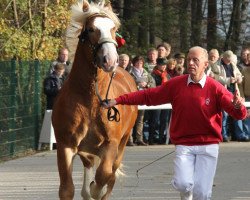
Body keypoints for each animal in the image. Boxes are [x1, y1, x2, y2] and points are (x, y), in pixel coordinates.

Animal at [51, 0, 138, 200]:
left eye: (113, 28)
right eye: (91, 29)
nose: (110, 60)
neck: (90, 99)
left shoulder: (110, 144)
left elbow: (103, 176)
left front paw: (95, 190)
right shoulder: (66, 145)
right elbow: (67, 189)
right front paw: (87, 189)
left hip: (122, 144)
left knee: (111, 175)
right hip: (87, 150)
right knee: (90, 166)